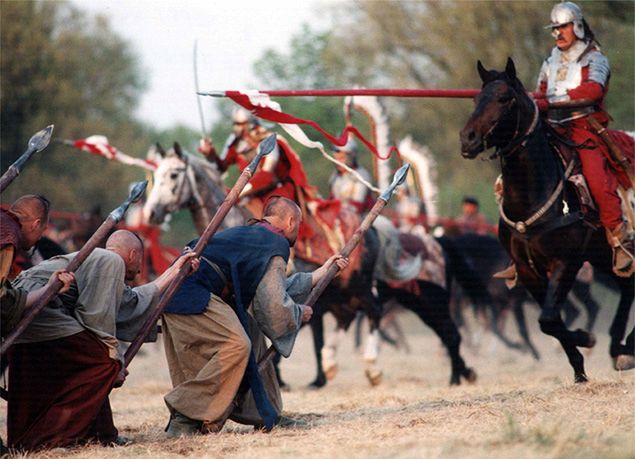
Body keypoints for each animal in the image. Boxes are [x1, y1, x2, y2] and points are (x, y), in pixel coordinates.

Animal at [462, 57, 635, 382]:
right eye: (477, 99)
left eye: (504, 99)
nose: (468, 139)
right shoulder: (528, 271)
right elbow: (549, 322)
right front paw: (579, 368)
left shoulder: (565, 263)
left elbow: (550, 318)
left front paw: (585, 339)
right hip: (604, 258)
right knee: (629, 286)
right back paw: (620, 347)